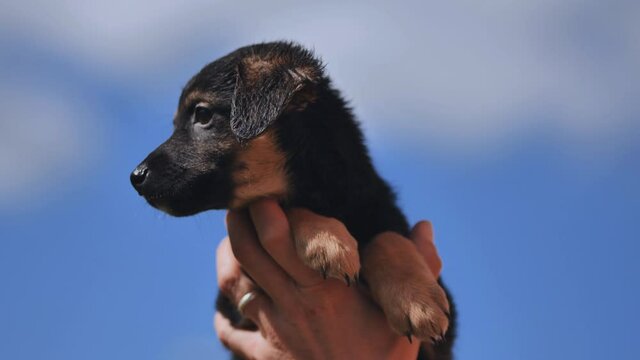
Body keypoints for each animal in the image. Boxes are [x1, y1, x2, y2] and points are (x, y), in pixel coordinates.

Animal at [131, 41, 456, 358]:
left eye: (202, 114)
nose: (135, 177)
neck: (325, 191)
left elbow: (388, 237)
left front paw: (417, 302)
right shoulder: (233, 307)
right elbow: (287, 206)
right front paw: (327, 241)